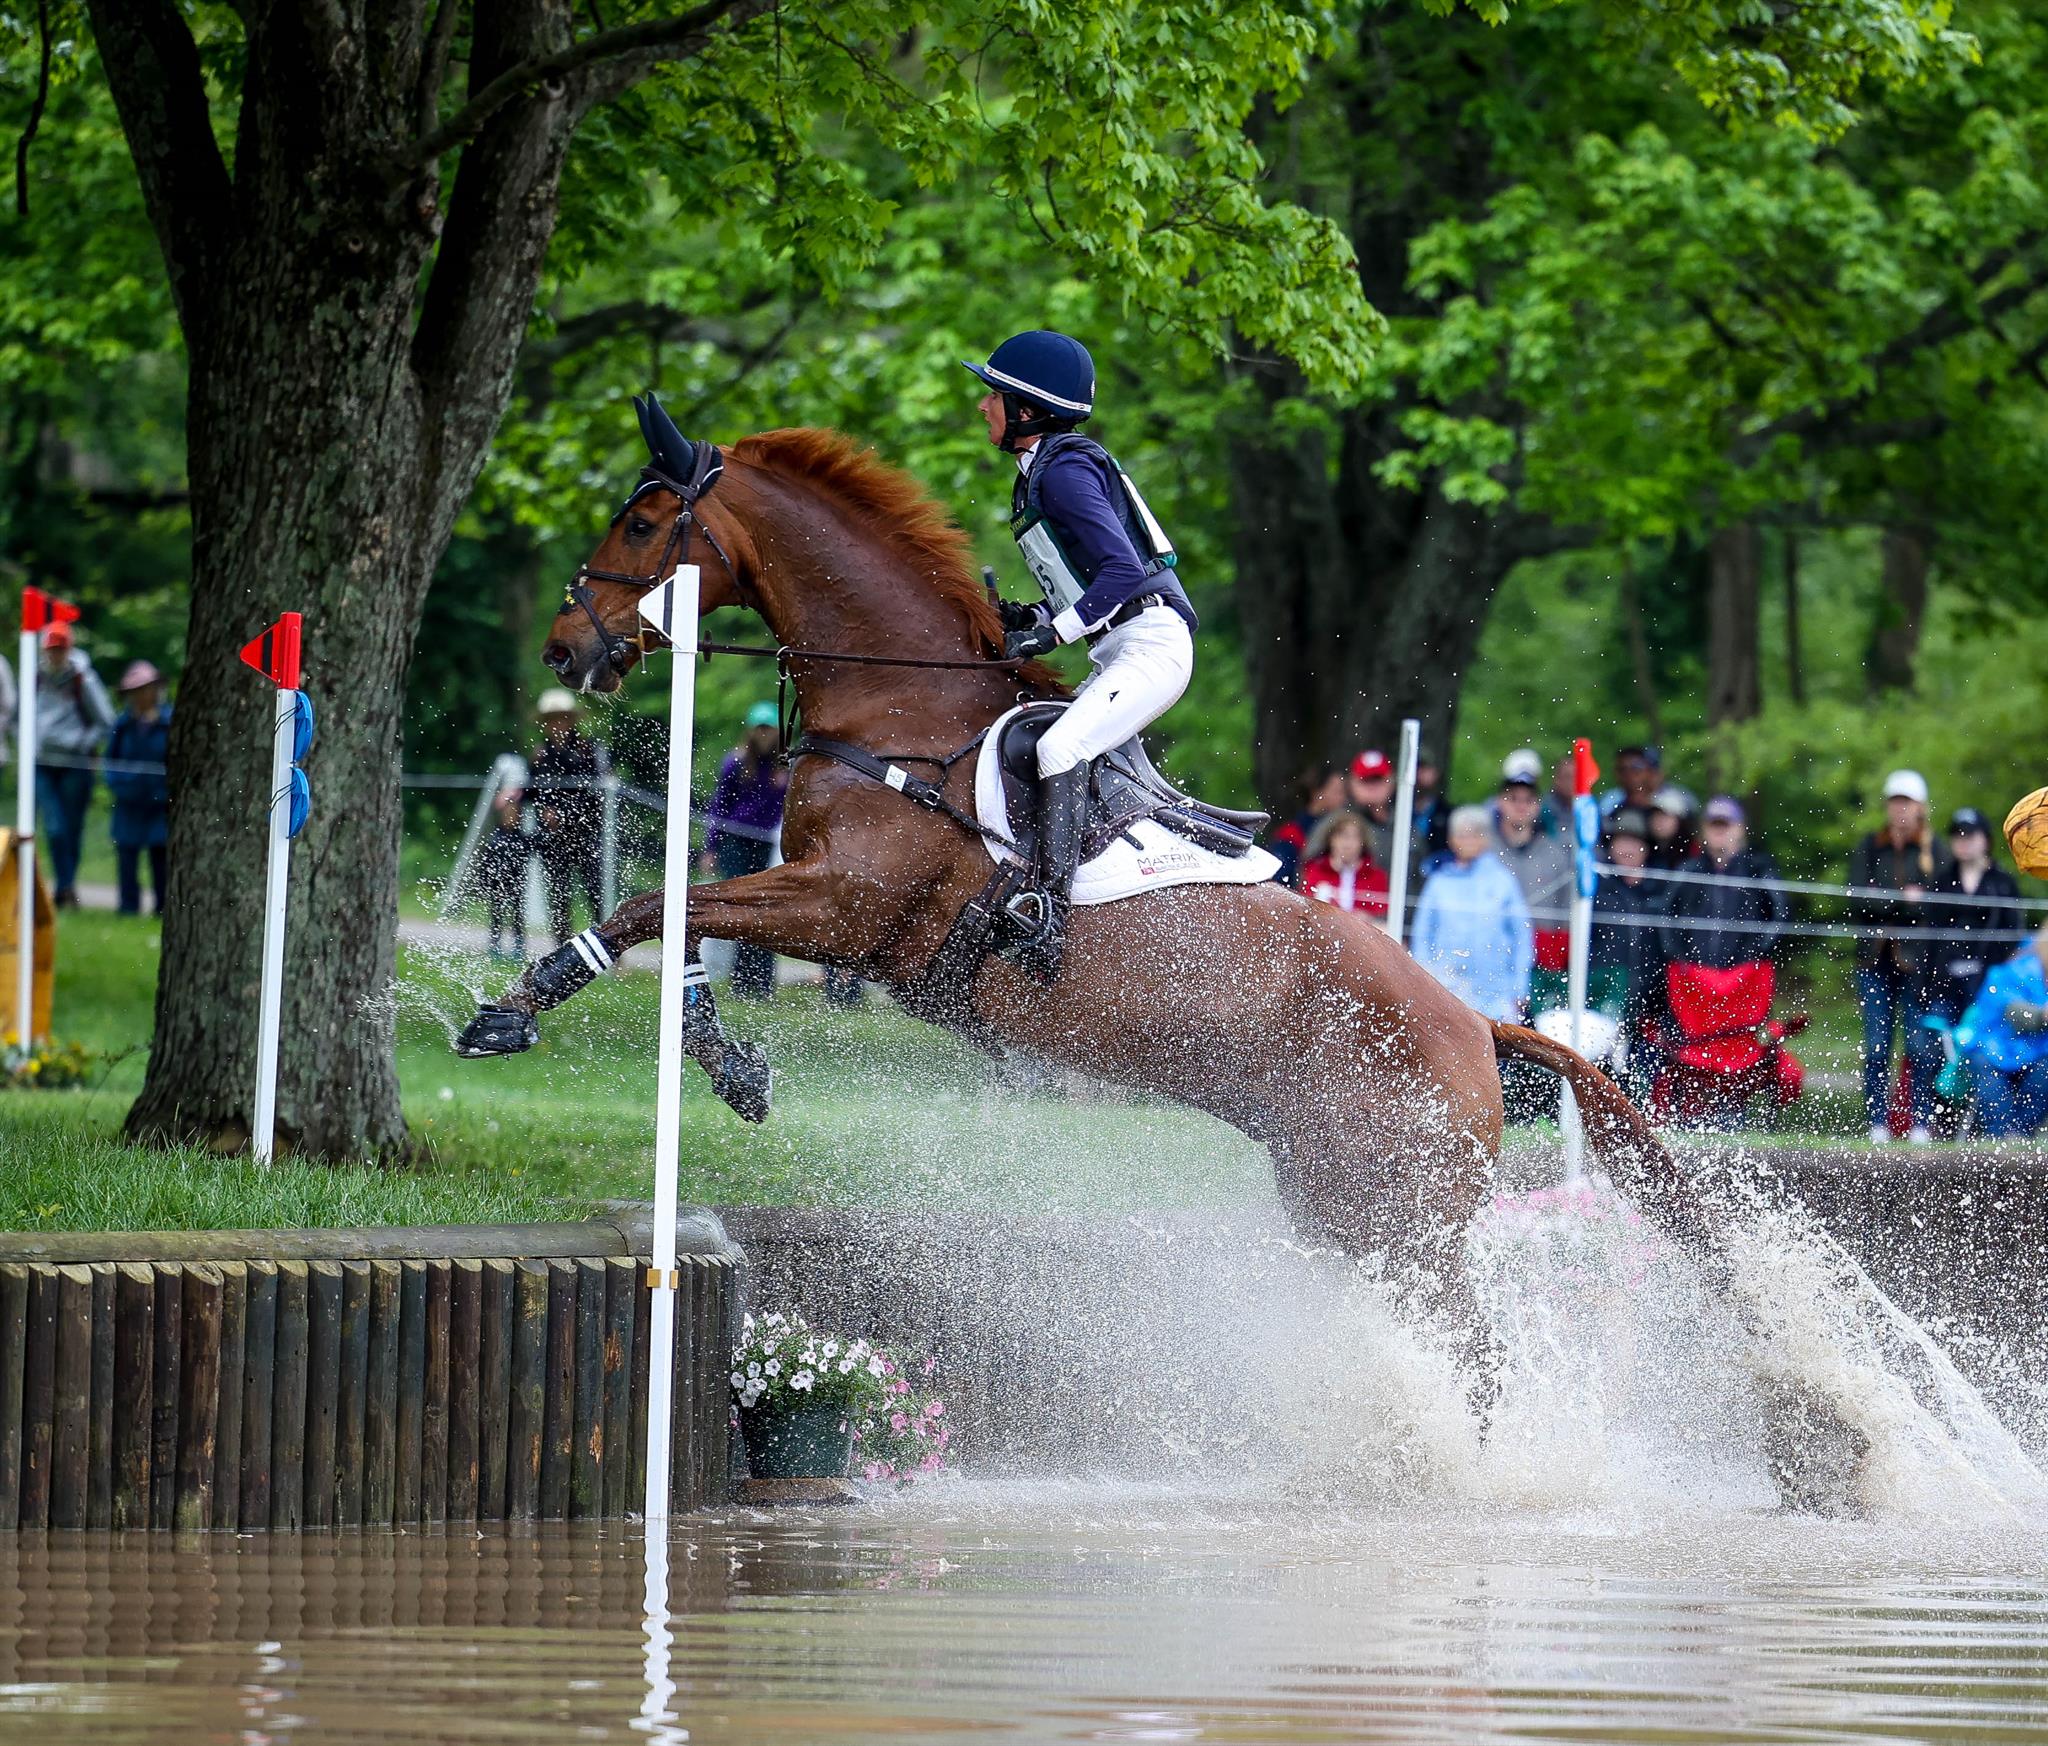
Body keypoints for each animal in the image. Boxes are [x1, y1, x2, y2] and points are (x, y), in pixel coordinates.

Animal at [460, 415, 1712, 1342]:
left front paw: (521, 1013)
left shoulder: (847, 908)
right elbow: (672, 919)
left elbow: (651, 906)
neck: (897, 709)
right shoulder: (816, 897)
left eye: (640, 518)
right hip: (1332, 1205)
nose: (565, 649)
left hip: (1394, 1214)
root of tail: (1475, 1025)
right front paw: (712, 1058)